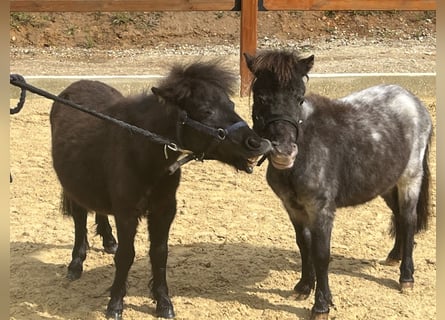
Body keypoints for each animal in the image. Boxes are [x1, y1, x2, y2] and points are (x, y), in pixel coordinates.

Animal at [49, 59, 270, 318]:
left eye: (231, 104)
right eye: (206, 110)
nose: (257, 143)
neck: (142, 152)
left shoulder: (164, 210)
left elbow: (159, 253)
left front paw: (163, 302)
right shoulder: (127, 213)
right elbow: (126, 255)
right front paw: (115, 304)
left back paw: (109, 241)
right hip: (73, 187)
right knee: (79, 218)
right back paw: (75, 264)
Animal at [245, 50, 432, 320]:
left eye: (299, 98)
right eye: (260, 96)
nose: (284, 152)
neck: (308, 146)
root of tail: (412, 100)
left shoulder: (321, 210)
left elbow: (321, 254)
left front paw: (321, 305)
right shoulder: (293, 208)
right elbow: (304, 245)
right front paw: (303, 287)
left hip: (410, 177)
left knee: (408, 220)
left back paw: (406, 277)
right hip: (387, 183)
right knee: (398, 216)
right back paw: (393, 257)